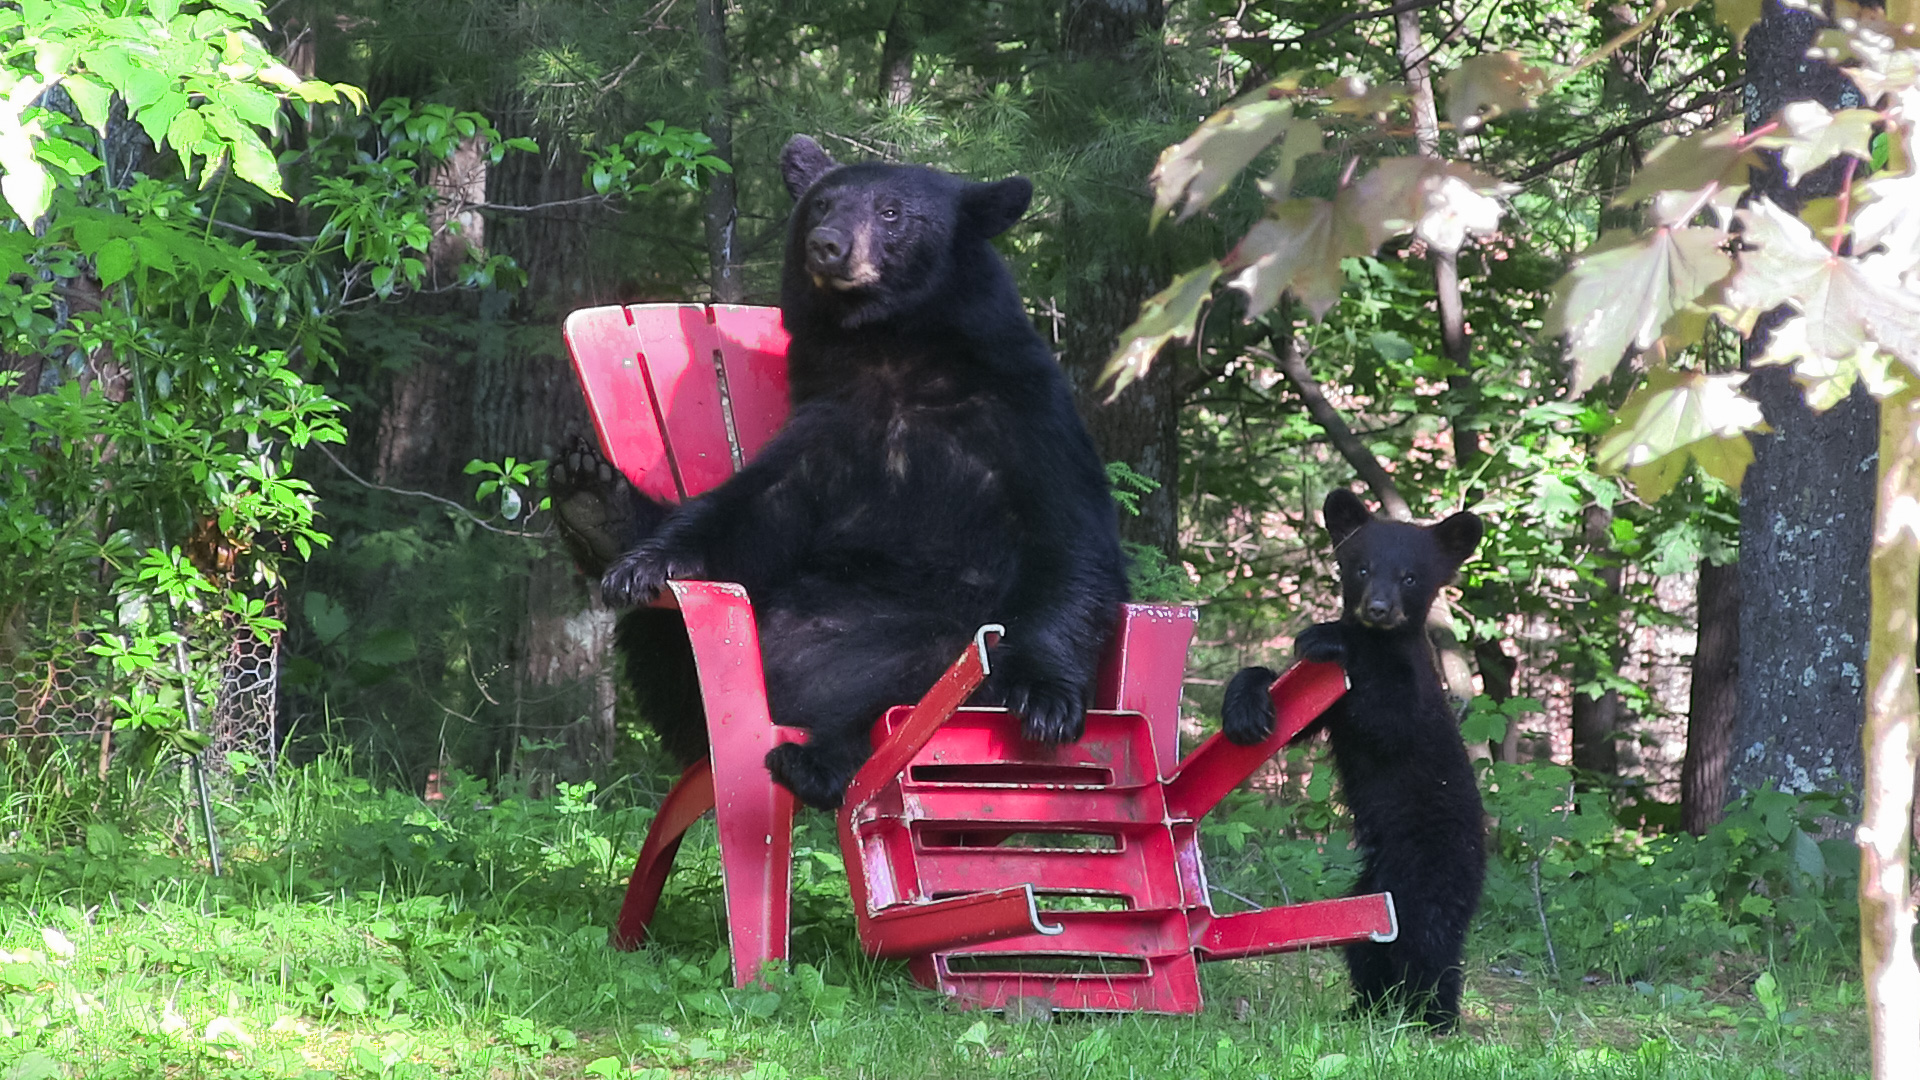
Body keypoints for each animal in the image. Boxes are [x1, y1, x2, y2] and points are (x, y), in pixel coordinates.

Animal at [559, 134, 1129, 811]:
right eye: (823, 203)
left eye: (891, 212)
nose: (826, 244)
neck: (894, 354)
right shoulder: (829, 423)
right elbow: (752, 507)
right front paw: (642, 560)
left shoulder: (1025, 414)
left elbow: (1071, 542)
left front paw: (1048, 698)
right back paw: (598, 505)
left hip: (937, 653)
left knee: (907, 695)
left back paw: (818, 760)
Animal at [1220, 488, 1485, 1030]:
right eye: (1361, 567)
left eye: (1409, 576)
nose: (1378, 608)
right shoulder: (1324, 697)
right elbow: (1292, 713)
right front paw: (1245, 708)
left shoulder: (1410, 690)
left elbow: (1387, 716)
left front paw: (1329, 635)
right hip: (1368, 894)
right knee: (1368, 951)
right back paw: (1363, 1007)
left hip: (1437, 866)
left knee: (1431, 943)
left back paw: (1436, 1018)